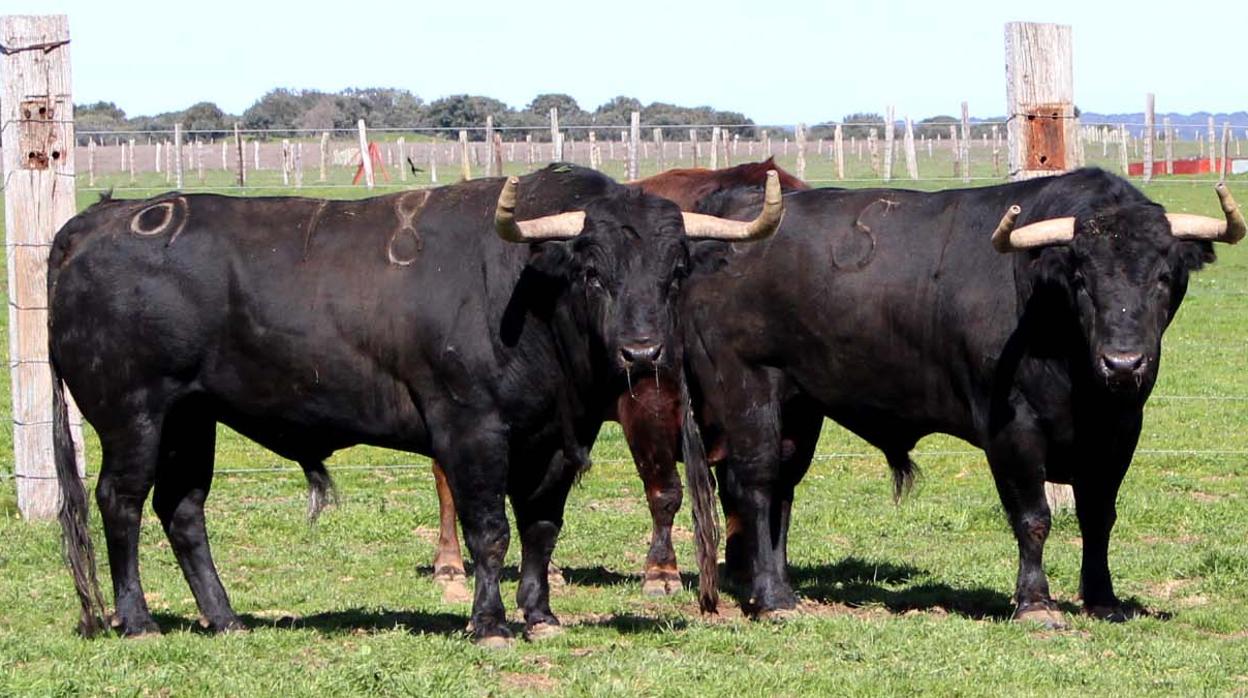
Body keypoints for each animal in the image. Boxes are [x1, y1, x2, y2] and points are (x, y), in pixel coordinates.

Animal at [48, 163, 773, 644]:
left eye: (676, 271)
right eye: (594, 271)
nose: (643, 353)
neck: (527, 290)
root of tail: (102, 219)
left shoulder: (554, 442)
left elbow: (541, 528)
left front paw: (541, 615)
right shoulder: (470, 428)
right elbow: (490, 529)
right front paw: (489, 624)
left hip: (192, 418)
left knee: (183, 510)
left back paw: (225, 619)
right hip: (134, 413)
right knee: (120, 503)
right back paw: (137, 620)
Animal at [688, 169, 1243, 629]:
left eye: (1164, 277)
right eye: (1082, 280)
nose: (1123, 363)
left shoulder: (1120, 432)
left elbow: (1098, 516)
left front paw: (1103, 599)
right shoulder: (1013, 430)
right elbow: (1033, 518)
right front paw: (1035, 605)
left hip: (800, 406)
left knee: (783, 488)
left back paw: (782, 589)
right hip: (749, 387)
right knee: (756, 485)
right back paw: (771, 600)